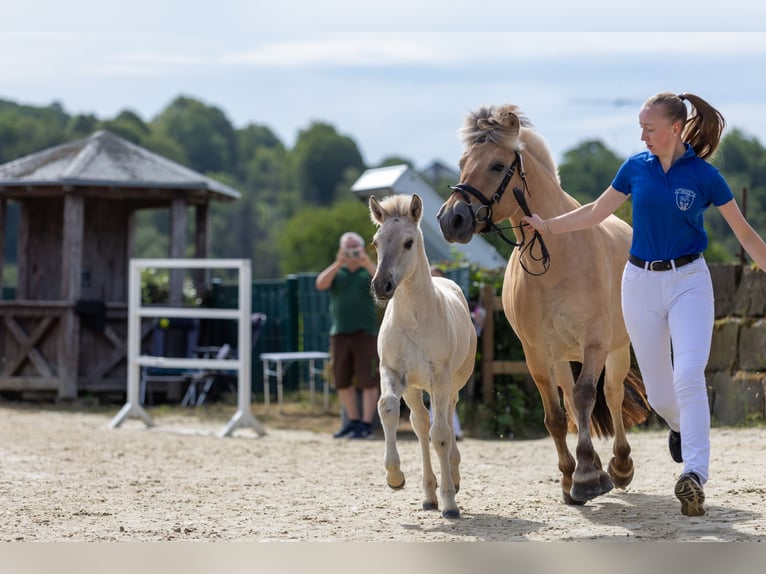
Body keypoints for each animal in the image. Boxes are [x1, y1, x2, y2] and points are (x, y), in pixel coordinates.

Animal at [369, 193, 478, 518]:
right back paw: (429, 496)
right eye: (376, 242)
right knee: (420, 425)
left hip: (450, 385)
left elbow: (440, 435)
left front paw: (450, 503)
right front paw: (394, 477)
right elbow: (387, 408)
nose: (381, 285)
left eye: (408, 242)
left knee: (445, 422)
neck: (414, 319)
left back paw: (452, 480)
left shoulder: (440, 379)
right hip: (415, 389)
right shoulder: (393, 373)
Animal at [437, 104, 650, 505]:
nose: (450, 219)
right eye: (461, 163)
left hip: (617, 349)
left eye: (496, 166)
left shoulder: (595, 342)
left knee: (611, 394)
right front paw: (571, 477)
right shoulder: (536, 353)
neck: (558, 255)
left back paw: (620, 465)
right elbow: (555, 415)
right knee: (570, 397)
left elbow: (587, 395)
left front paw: (588, 476)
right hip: (561, 356)